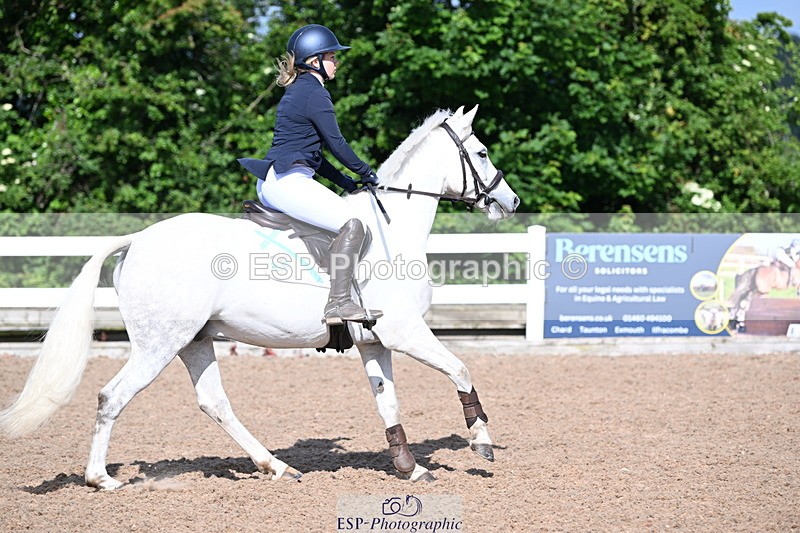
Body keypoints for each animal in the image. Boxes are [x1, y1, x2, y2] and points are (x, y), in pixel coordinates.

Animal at [0, 105, 519, 489]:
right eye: (481, 151)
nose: (509, 202)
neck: (394, 227)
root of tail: (138, 240)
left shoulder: (375, 341)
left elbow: (387, 402)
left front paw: (410, 468)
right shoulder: (404, 331)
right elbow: (460, 369)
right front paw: (482, 441)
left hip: (194, 341)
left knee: (214, 402)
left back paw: (278, 466)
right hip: (158, 344)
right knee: (113, 395)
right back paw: (100, 479)